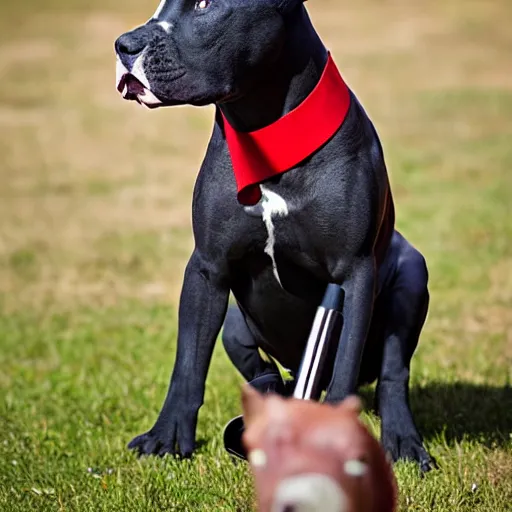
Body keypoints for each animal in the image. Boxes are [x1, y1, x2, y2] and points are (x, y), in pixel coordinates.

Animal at [115, 0, 432, 472]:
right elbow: (188, 364)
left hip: (412, 275)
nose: (124, 45)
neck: (265, 133)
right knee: (264, 373)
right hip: (234, 321)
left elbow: (344, 369)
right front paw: (166, 438)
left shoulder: (354, 272)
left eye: (205, 4)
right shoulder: (207, 268)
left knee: (393, 372)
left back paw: (402, 440)